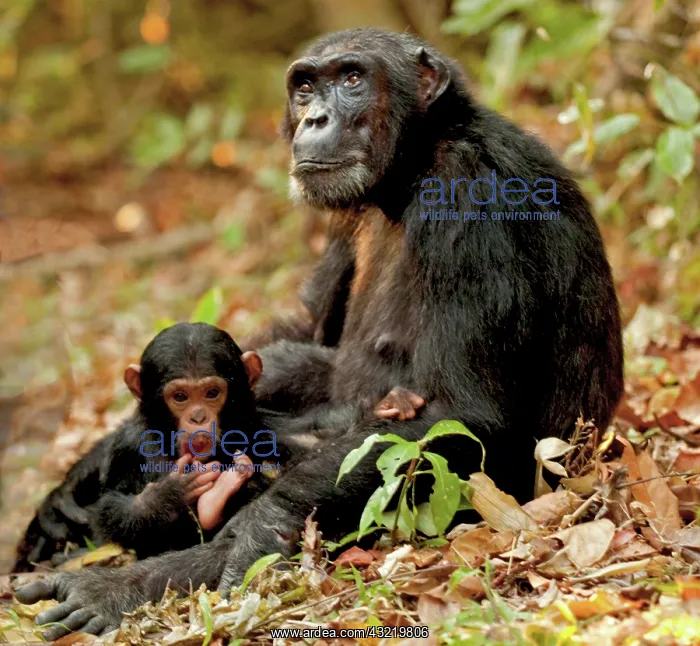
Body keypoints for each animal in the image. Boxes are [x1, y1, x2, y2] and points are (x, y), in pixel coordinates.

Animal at [17, 28, 623, 639]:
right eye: (305, 85)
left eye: (353, 78)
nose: (315, 117)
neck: (410, 171)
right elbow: (306, 331)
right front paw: (86, 469)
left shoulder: (471, 195)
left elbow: (464, 409)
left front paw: (259, 525)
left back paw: (117, 584)